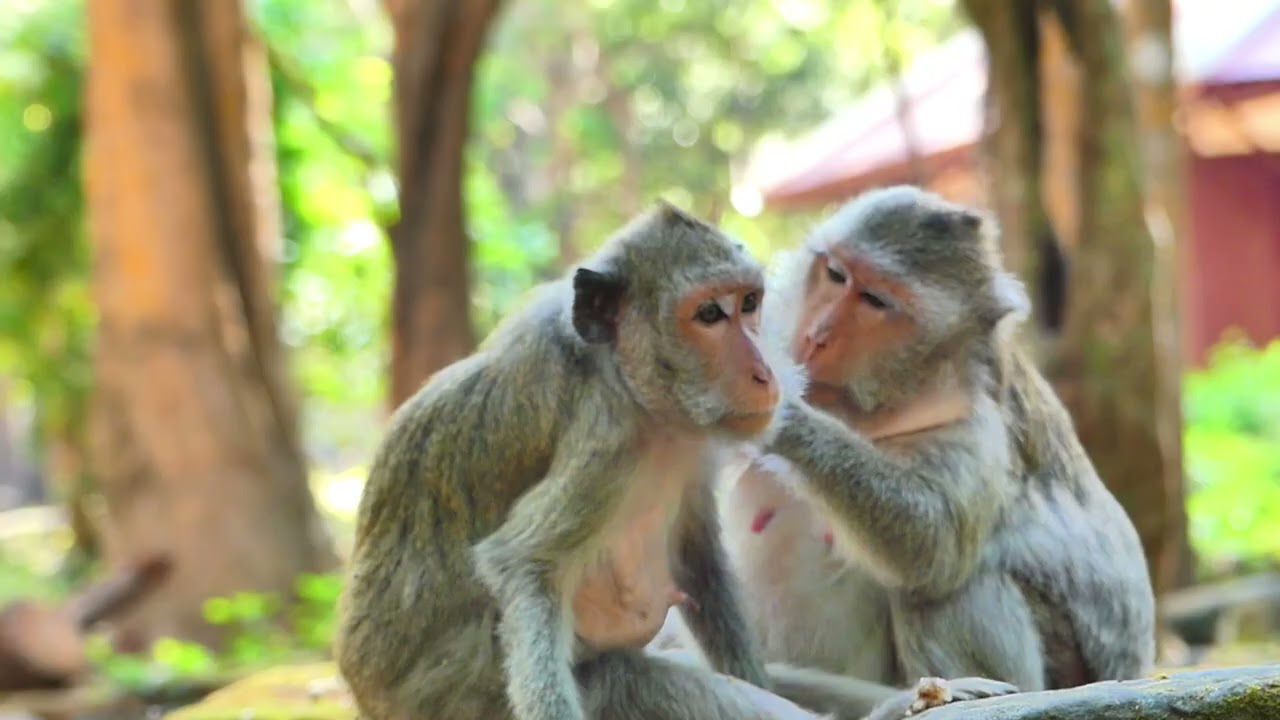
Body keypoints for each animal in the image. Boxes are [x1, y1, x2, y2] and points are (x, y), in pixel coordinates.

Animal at [337, 200, 978, 720]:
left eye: (749, 303)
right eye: (709, 315)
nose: (764, 372)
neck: (630, 383)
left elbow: (698, 558)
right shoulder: (604, 441)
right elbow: (522, 565)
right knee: (622, 679)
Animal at [710, 185, 1156, 717]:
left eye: (875, 301)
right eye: (836, 274)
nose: (816, 336)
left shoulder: (977, 421)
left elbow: (931, 540)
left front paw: (785, 414)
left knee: (949, 585)